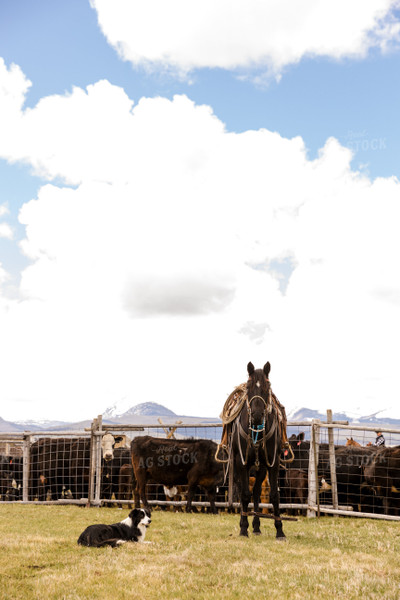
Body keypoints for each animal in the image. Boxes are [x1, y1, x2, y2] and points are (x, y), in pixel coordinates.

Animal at [231, 364, 284, 540]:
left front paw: (280, 530)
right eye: (248, 386)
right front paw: (243, 529)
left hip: (260, 469)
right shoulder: (242, 463)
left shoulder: (273, 463)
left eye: (268, 386)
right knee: (243, 492)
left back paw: (256, 526)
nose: (257, 415)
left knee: (256, 492)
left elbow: (274, 495)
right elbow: (244, 495)